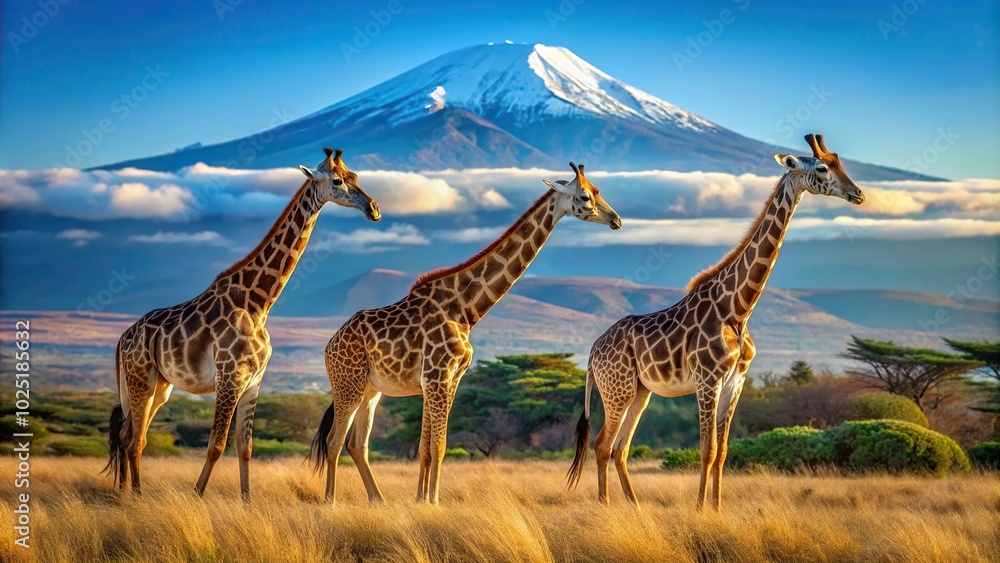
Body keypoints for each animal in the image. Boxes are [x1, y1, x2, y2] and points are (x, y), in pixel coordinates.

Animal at [103, 148, 381, 501]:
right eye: (336, 181)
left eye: (355, 176)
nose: (374, 208)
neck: (259, 304)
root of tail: (123, 338)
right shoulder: (229, 376)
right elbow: (216, 445)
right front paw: (197, 495)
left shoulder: (254, 380)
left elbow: (244, 446)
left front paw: (246, 499)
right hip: (140, 378)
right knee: (134, 437)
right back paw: (135, 495)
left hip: (160, 386)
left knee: (129, 434)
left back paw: (126, 494)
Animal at [309, 163, 622, 504]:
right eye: (585, 196)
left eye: (598, 191)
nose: (616, 220)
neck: (465, 309)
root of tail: (329, 345)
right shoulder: (438, 376)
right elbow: (439, 445)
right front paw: (433, 501)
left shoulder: (447, 378)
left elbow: (426, 447)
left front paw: (421, 500)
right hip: (347, 385)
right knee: (334, 441)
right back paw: (330, 500)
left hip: (370, 390)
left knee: (357, 444)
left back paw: (378, 499)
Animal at [565, 134, 865, 510]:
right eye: (823, 168)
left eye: (840, 162)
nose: (858, 194)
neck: (738, 308)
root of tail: (593, 351)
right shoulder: (708, 379)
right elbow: (706, 450)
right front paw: (699, 510)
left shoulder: (736, 380)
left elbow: (722, 452)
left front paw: (718, 508)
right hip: (616, 390)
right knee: (602, 444)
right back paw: (606, 507)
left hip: (639, 391)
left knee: (619, 448)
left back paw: (634, 507)